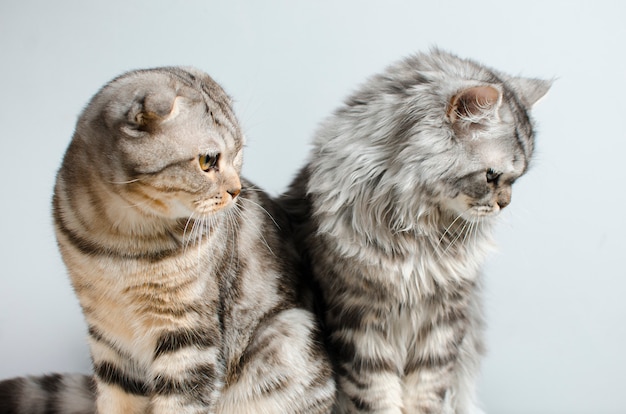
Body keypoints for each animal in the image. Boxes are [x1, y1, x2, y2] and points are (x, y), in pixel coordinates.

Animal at [0, 66, 336, 412]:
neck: (123, 241)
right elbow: (115, 399)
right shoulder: (107, 333)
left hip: (286, 336)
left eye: (238, 153)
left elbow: (179, 401)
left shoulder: (188, 334)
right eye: (207, 161)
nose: (236, 189)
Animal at [280, 49, 548, 414]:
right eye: (491, 175)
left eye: (516, 180)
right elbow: (376, 395)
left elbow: (428, 391)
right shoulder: (359, 317)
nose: (505, 204)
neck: (419, 231)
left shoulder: (445, 318)